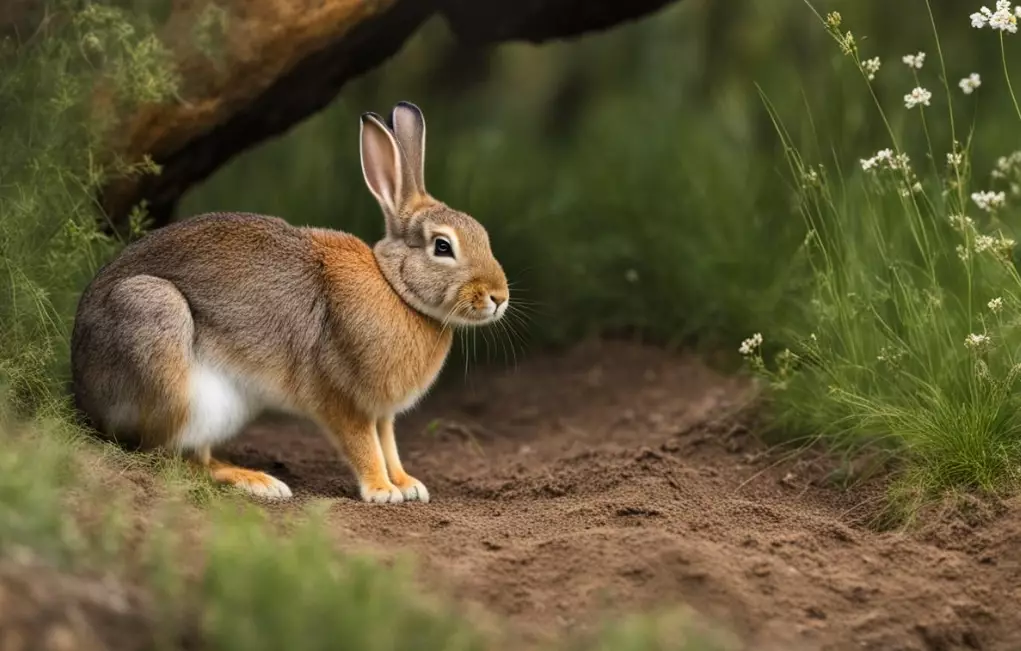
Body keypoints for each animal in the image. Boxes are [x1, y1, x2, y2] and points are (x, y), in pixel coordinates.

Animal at [69, 101, 509, 503]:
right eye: (442, 246)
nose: (499, 297)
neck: (396, 288)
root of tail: (84, 394)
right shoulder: (340, 398)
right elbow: (363, 445)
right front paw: (382, 490)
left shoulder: (382, 412)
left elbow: (389, 444)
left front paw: (407, 484)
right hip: (159, 336)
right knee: (169, 458)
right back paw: (256, 482)